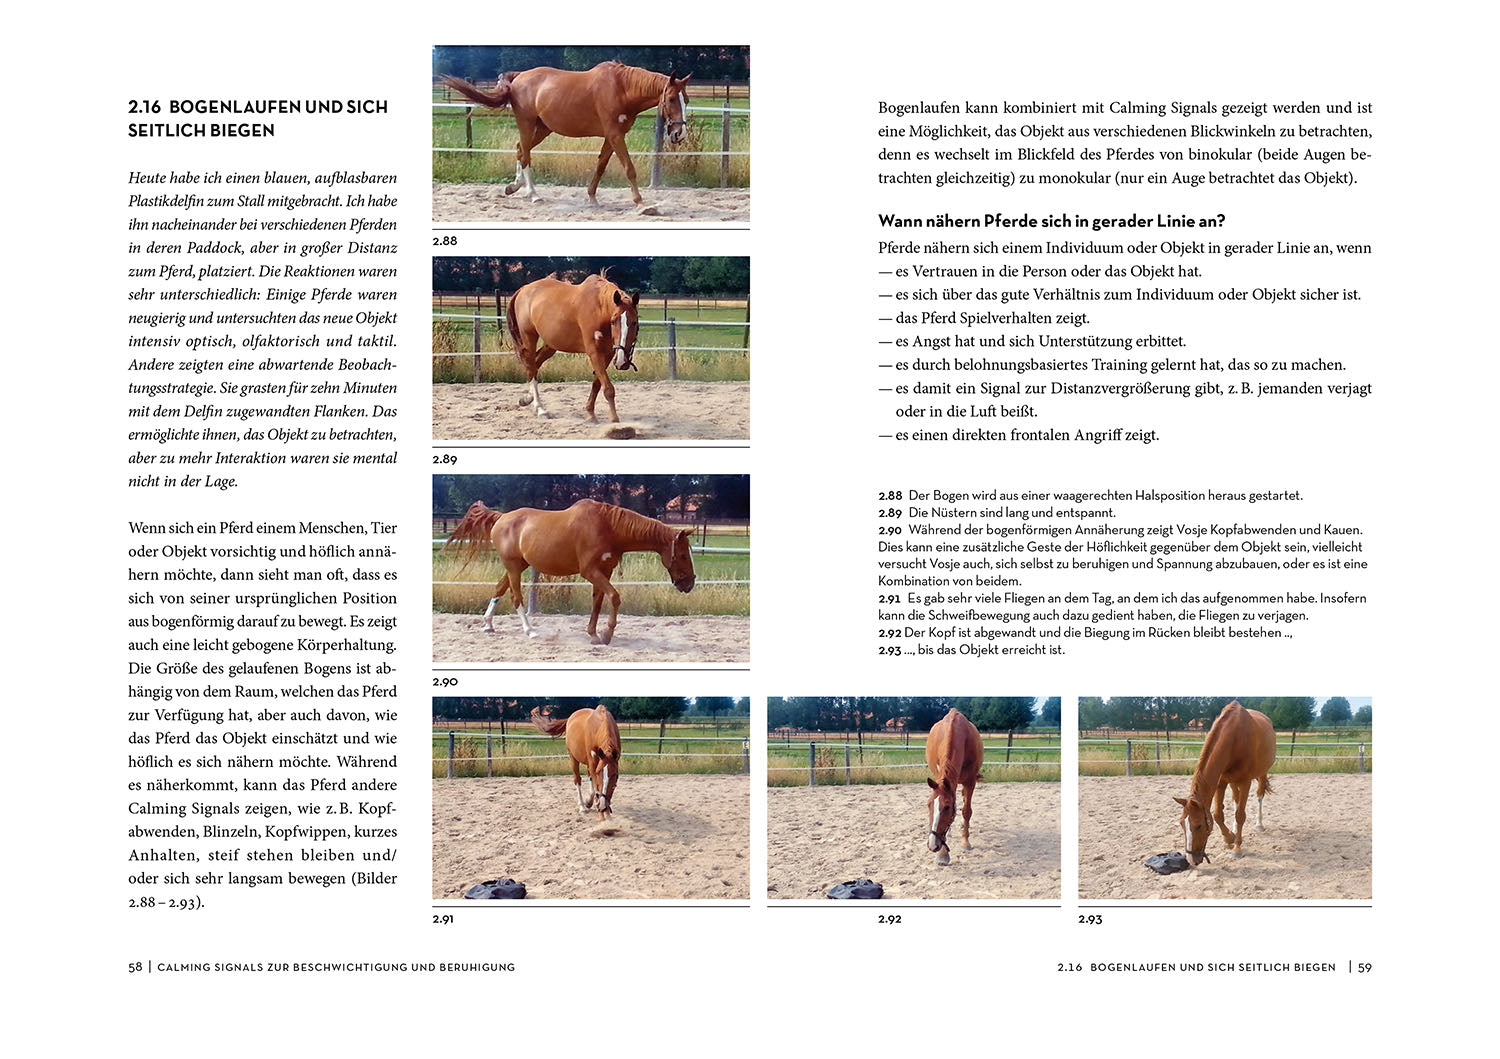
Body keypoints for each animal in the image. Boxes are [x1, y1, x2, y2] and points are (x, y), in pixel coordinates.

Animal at [438, 62, 693, 205]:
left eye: (686, 99)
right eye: (671, 98)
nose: (679, 134)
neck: (621, 89)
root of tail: (519, 77)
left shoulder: (612, 136)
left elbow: (600, 166)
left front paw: (592, 197)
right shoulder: (615, 135)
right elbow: (629, 168)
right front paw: (640, 203)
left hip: (542, 128)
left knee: (520, 150)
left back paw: (515, 187)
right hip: (527, 124)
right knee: (526, 155)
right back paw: (533, 194)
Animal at [443, 498, 696, 645]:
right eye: (683, 555)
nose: (690, 584)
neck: (608, 526)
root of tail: (501, 517)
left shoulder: (604, 572)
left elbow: (598, 602)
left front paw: (593, 634)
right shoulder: (590, 571)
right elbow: (614, 597)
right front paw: (607, 634)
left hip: (517, 566)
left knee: (499, 589)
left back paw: (488, 624)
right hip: (513, 567)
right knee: (516, 597)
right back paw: (530, 631)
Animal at [507, 271, 640, 423]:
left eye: (634, 322)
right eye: (613, 321)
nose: (622, 363)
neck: (599, 309)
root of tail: (523, 289)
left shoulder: (608, 353)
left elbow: (597, 383)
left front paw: (590, 413)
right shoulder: (594, 352)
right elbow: (608, 388)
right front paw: (614, 419)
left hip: (551, 345)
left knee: (534, 365)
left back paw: (526, 399)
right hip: (529, 338)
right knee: (530, 367)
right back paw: (540, 409)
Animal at [924, 708, 983, 865]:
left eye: (947, 807)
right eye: (928, 804)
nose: (933, 845)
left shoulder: (970, 782)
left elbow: (966, 811)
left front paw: (965, 842)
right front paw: (943, 854)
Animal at [1174, 701, 1276, 864]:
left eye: (1199, 826)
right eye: (1181, 823)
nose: (1191, 860)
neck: (1235, 738)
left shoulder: (1245, 782)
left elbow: (1240, 815)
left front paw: (1237, 849)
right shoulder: (1221, 782)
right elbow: (1217, 815)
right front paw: (1229, 838)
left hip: (1261, 773)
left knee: (1259, 795)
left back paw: (1259, 825)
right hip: (1232, 782)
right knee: (1235, 799)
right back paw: (1234, 830)